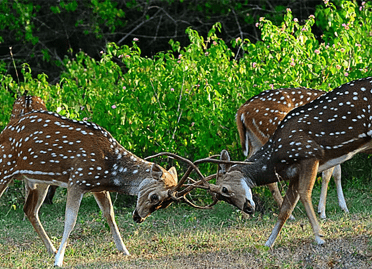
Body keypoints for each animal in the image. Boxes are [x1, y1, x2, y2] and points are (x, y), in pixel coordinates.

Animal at [0, 94, 183, 266]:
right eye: (155, 196)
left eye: (166, 204)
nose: (139, 218)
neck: (109, 168)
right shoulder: (77, 180)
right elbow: (71, 220)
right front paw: (59, 260)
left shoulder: (97, 186)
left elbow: (109, 214)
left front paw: (124, 250)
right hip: (5, 167)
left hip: (40, 179)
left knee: (30, 209)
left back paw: (51, 249)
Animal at [235, 88, 348, 218]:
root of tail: (241, 111)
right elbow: (327, 175)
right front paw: (322, 211)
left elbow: (337, 173)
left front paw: (344, 207)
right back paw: (290, 215)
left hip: (255, 141)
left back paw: (245, 214)